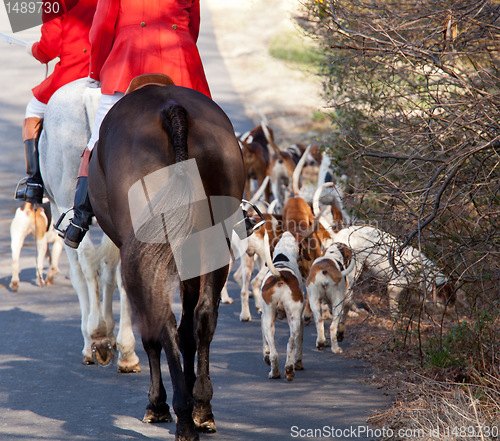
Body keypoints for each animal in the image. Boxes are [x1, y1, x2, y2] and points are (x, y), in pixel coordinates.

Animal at [89, 84, 247, 438]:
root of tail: (170, 108)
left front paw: (158, 404)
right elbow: (189, 328)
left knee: (163, 319)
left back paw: (181, 415)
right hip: (214, 242)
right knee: (203, 317)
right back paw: (201, 408)